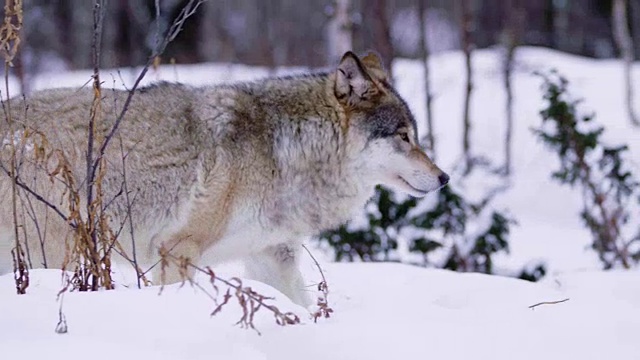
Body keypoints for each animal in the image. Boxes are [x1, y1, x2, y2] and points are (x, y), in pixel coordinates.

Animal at [0, 51, 450, 306]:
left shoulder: (272, 256)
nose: (444, 178)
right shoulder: (177, 251)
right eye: (404, 137)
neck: (285, 150)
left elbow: (303, 307)